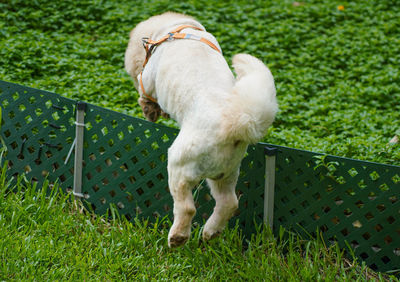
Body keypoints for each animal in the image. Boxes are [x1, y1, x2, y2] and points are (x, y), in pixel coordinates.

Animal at [126, 12, 278, 247]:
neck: (175, 29)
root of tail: (234, 121)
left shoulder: (147, 80)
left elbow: (145, 94)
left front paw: (150, 110)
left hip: (179, 165)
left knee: (187, 207)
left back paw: (178, 237)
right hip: (226, 173)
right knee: (229, 203)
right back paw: (211, 232)